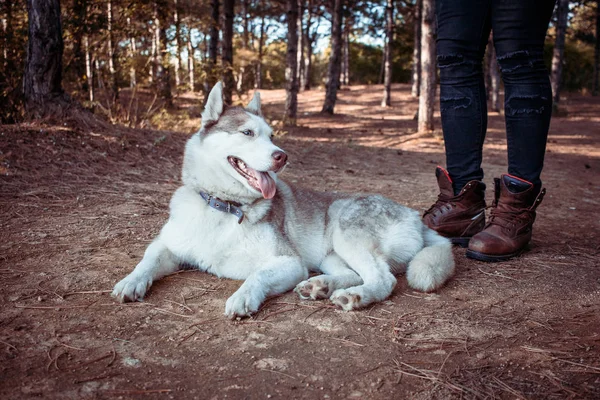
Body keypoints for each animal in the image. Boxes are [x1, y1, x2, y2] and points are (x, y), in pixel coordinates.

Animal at [111, 82, 454, 318]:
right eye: (248, 133)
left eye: (272, 136)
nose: (282, 156)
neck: (224, 207)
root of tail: (413, 215)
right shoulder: (168, 246)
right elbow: (148, 259)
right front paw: (131, 282)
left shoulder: (290, 263)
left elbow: (258, 274)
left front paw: (244, 296)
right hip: (331, 254)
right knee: (354, 273)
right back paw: (321, 286)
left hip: (347, 233)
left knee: (382, 279)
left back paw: (354, 296)